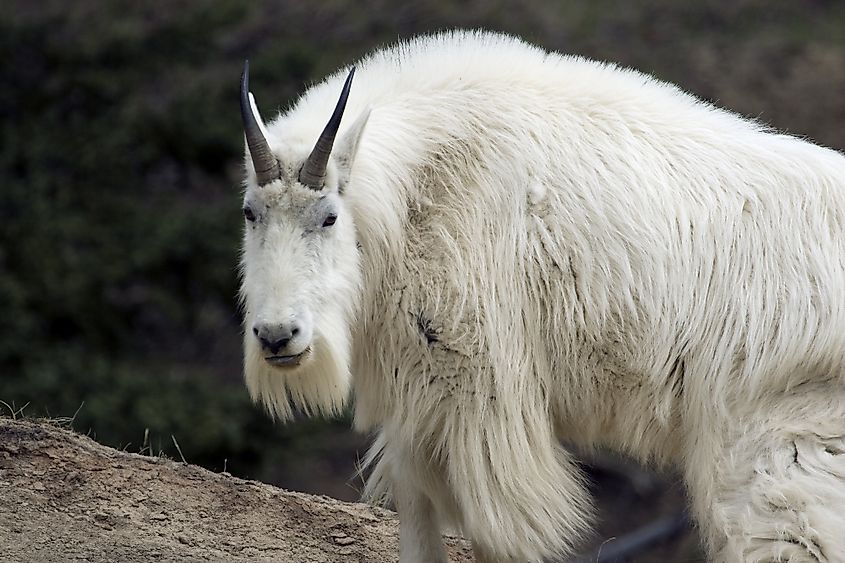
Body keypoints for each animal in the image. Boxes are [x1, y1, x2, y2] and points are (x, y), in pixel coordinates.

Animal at [236, 32, 844, 563]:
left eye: (329, 216)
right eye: (250, 212)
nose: (278, 336)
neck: (418, 191)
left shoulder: (481, 398)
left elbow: (494, 533)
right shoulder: (417, 397)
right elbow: (416, 518)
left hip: (772, 438)